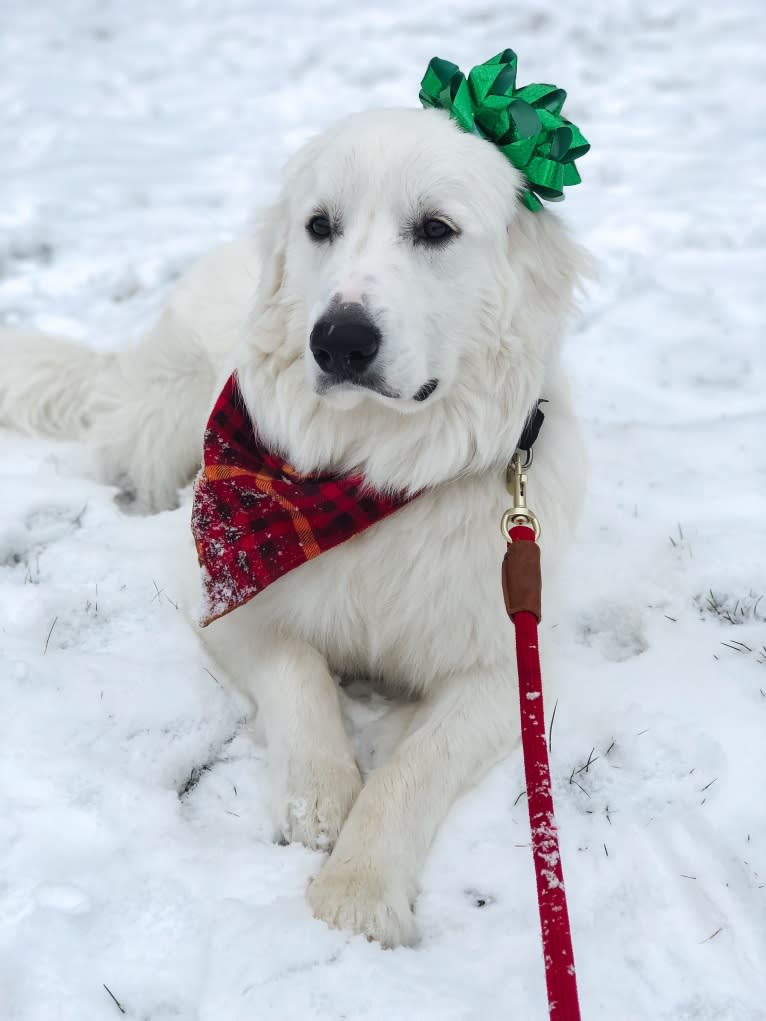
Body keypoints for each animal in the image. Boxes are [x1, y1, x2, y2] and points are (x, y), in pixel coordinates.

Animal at [0, 105, 592, 947]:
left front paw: (358, 889)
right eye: (321, 225)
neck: (377, 471)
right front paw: (320, 796)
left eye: (436, 229)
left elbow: (415, 766)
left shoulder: (507, 655)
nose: (339, 339)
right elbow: (299, 670)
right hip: (167, 414)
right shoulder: (222, 585)